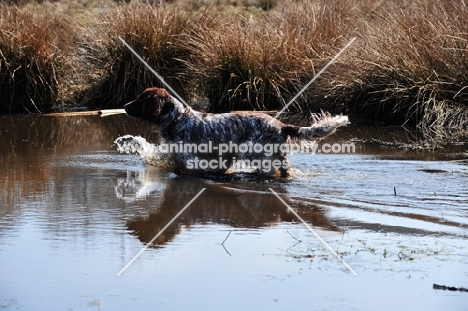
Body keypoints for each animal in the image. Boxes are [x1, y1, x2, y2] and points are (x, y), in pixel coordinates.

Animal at [124, 87, 348, 178]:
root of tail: (281, 125)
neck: (178, 119)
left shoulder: (190, 159)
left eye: (141, 99)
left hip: (252, 151)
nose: (125, 106)